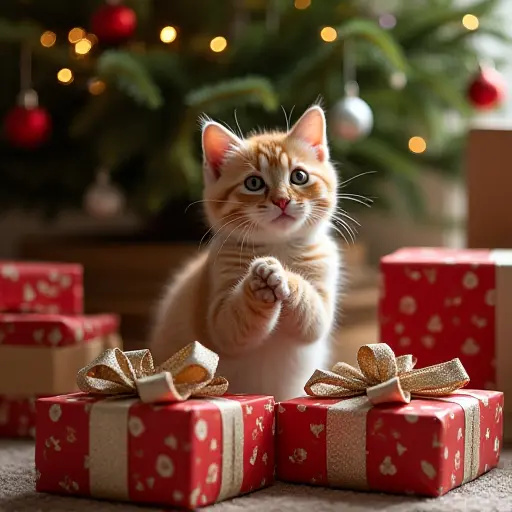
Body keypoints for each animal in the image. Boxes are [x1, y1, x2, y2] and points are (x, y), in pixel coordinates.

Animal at [150, 106, 342, 402]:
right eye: (253, 183)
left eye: (299, 176)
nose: (282, 200)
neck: (277, 245)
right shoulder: (217, 313)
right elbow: (231, 326)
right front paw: (258, 283)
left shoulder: (322, 297)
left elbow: (313, 319)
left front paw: (281, 275)